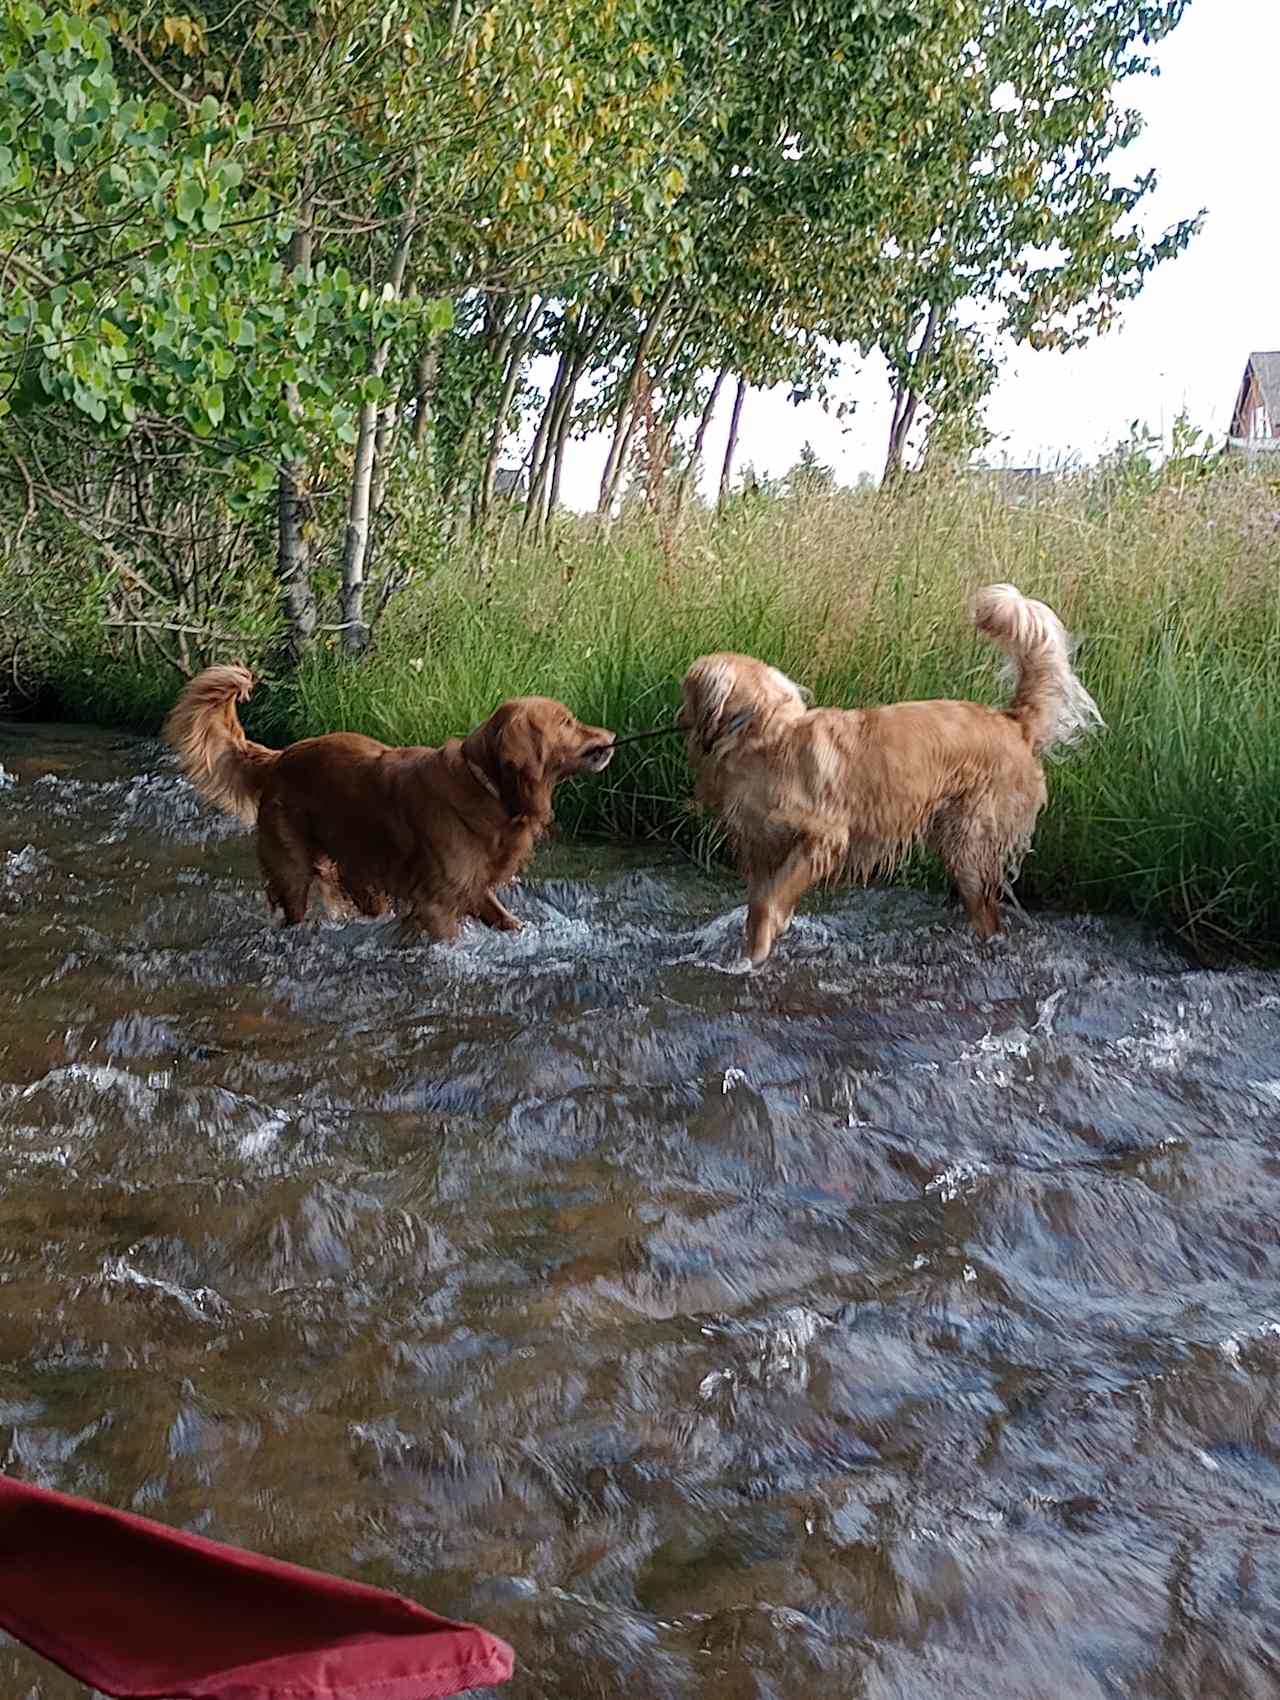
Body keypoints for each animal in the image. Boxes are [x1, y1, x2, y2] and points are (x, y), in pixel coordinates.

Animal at [163, 663, 615, 938]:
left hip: (359, 871)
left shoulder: (473, 886)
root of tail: (278, 757)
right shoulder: (436, 903)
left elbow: (506, 920)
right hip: (292, 872)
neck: (485, 786)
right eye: (567, 722)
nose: (611, 737)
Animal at [679, 584, 1101, 965]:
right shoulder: (762, 849)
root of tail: (1014, 722)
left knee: (988, 913)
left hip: (970, 841)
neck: (762, 733)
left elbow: (768, 904)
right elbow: (759, 903)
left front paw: (755, 956)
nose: (678, 714)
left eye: (686, 689)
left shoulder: (825, 837)